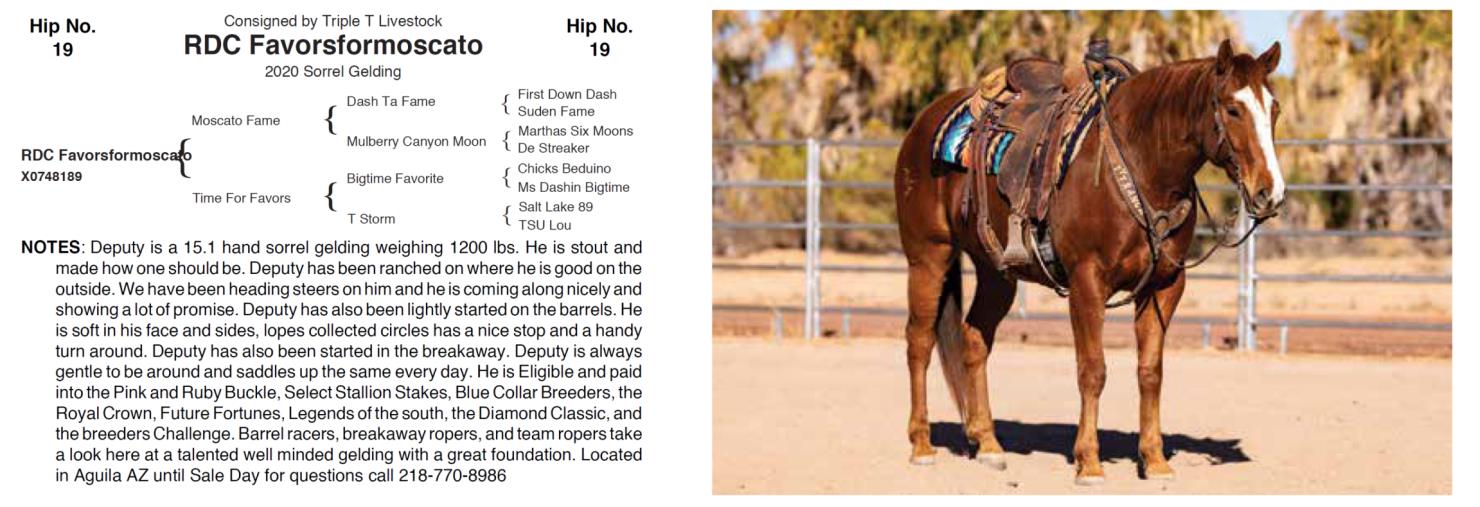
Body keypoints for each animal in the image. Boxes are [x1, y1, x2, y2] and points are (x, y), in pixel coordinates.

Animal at [893, 40, 1285, 484]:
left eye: (1274, 108)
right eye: (1233, 109)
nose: (1270, 193)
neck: (1140, 163)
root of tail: (923, 122)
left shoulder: (1165, 285)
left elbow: (1151, 371)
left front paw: (1155, 460)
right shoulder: (1087, 281)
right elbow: (1093, 370)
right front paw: (1089, 463)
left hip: (996, 272)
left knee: (974, 339)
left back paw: (989, 444)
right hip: (928, 255)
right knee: (919, 341)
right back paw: (922, 445)